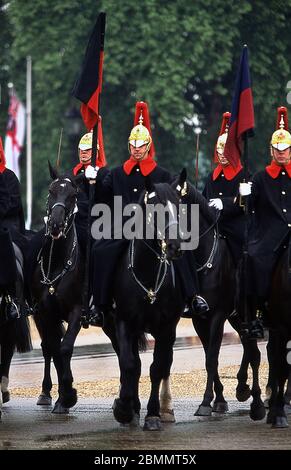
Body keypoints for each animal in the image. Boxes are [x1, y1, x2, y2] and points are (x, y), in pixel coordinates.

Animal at [100, 175, 187, 430]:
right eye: (155, 208)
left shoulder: (167, 328)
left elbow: (157, 367)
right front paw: (123, 408)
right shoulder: (124, 323)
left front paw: (153, 414)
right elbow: (130, 364)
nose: (175, 246)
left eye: (180, 205)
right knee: (128, 363)